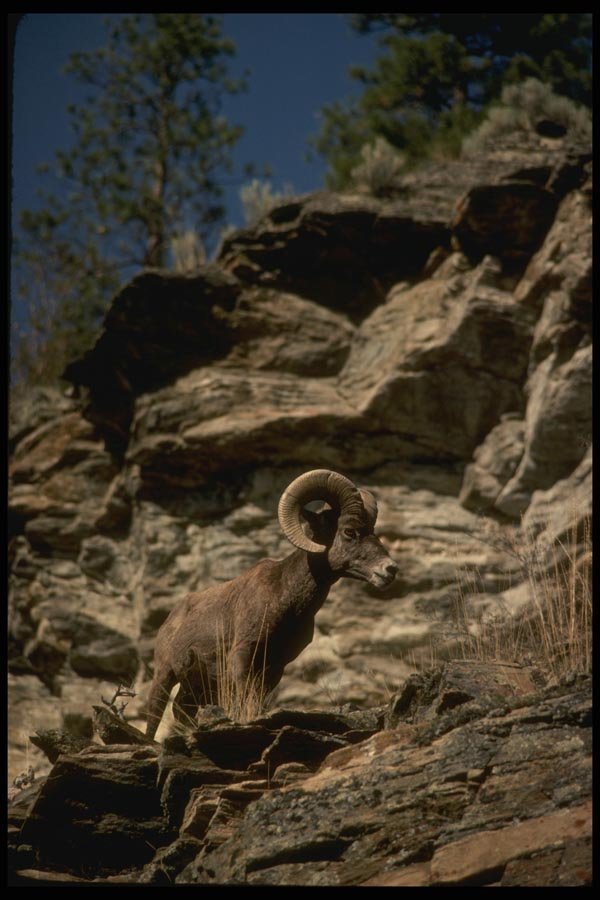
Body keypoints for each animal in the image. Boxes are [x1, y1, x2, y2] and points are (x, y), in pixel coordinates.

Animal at [145, 469, 398, 738]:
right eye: (349, 531)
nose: (390, 570)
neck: (284, 597)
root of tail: (171, 618)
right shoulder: (242, 657)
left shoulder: (274, 669)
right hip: (164, 676)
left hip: (195, 687)